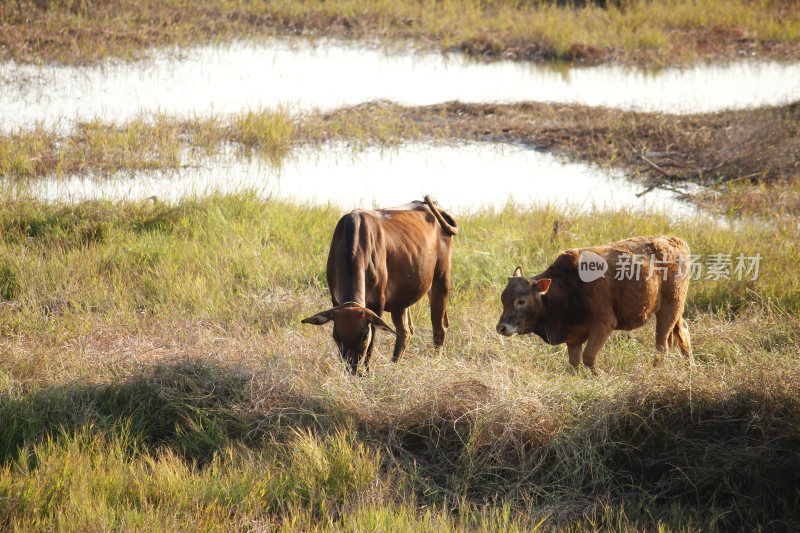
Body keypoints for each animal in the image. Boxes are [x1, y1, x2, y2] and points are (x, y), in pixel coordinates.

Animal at [304, 195, 460, 374]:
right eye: (335, 336)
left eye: (363, 335)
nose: (352, 369)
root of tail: (428, 206)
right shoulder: (335, 300)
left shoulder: (377, 303)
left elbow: (372, 344)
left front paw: (367, 372)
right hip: (402, 299)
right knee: (405, 332)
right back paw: (394, 365)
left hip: (441, 279)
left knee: (439, 327)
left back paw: (434, 362)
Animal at [496, 237, 692, 374]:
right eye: (503, 299)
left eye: (521, 301)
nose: (501, 328)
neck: (568, 285)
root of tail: (675, 241)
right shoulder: (573, 336)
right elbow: (574, 362)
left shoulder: (604, 324)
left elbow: (588, 357)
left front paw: (602, 375)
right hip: (675, 311)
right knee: (683, 332)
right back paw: (690, 365)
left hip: (669, 309)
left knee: (662, 345)